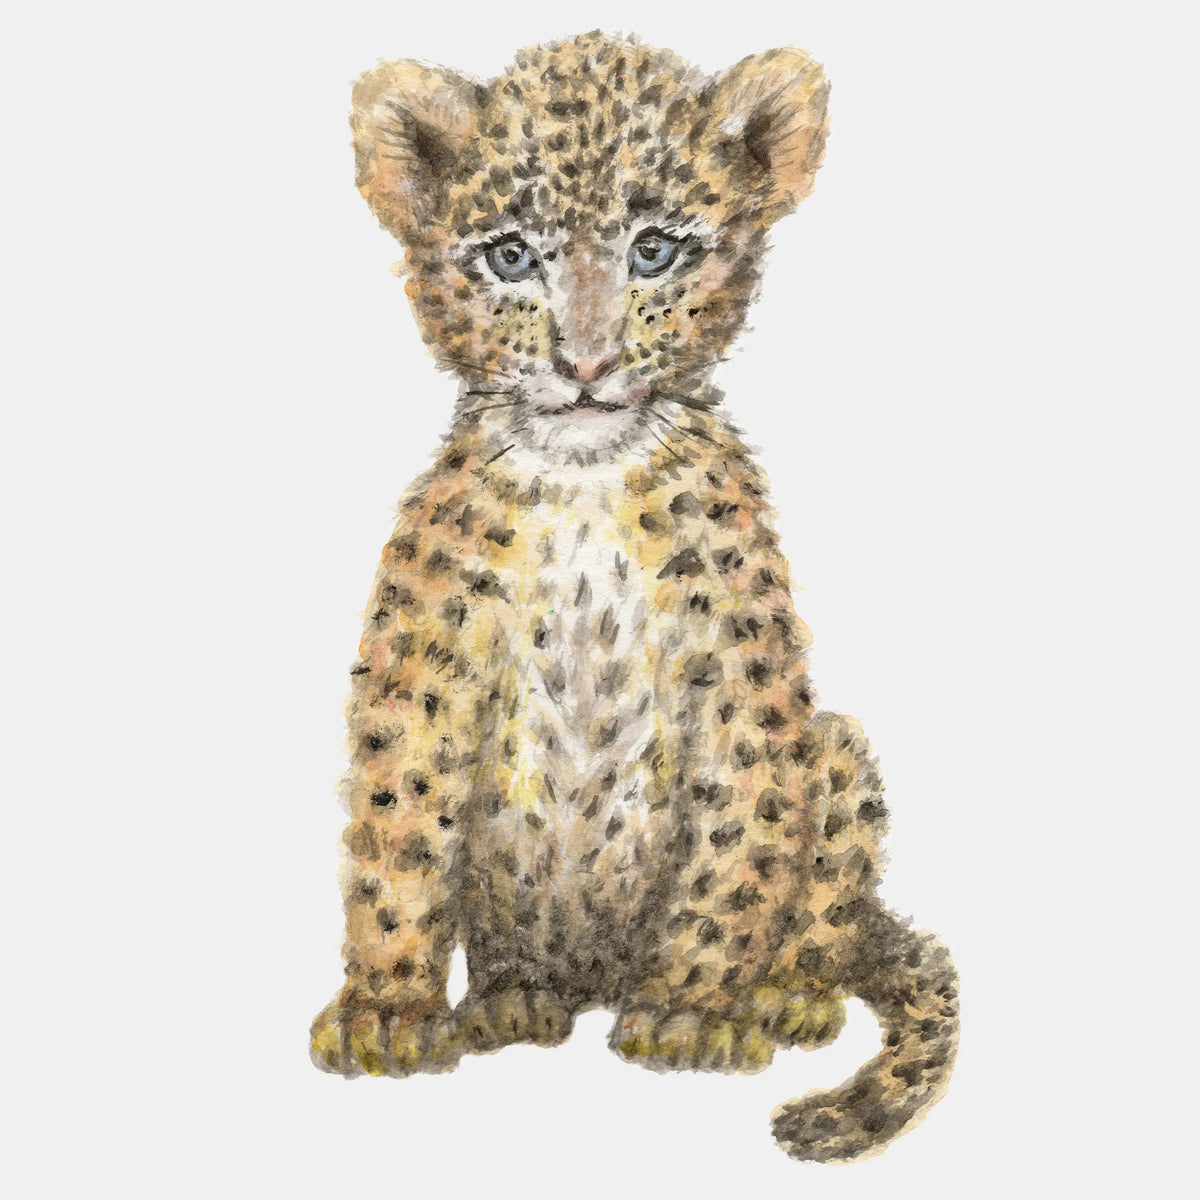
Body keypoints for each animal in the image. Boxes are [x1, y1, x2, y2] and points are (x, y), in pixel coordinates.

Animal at [310, 30, 959, 1165]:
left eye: (654, 250)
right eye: (511, 257)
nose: (585, 363)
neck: (584, 473)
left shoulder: (745, 687)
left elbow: (740, 849)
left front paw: (691, 1010)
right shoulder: (424, 665)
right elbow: (398, 829)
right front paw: (387, 1011)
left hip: (836, 749)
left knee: (826, 903)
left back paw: (783, 997)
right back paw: (514, 999)